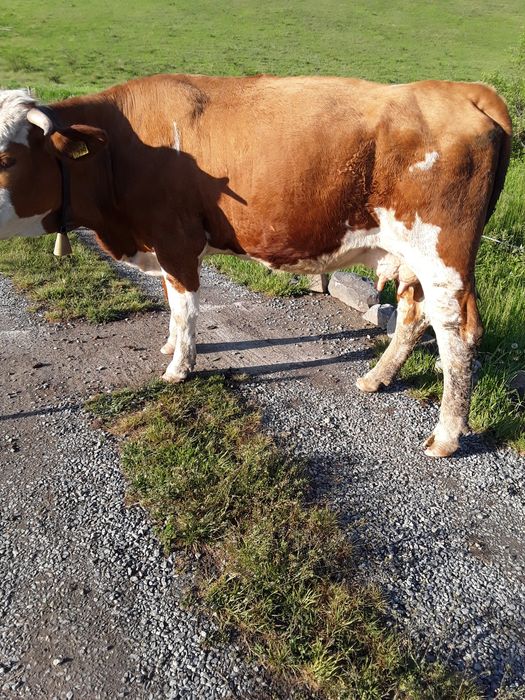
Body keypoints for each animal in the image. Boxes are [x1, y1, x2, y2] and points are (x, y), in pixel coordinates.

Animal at [0, 74, 512, 457]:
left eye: (6, 157)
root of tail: (462, 90)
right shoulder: (162, 245)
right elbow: (170, 300)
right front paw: (170, 346)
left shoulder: (176, 239)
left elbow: (184, 305)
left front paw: (178, 368)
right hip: (411, 258)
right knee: (413, 313)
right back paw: (376, 378)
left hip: (441, 254)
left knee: (456, 333)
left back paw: (445, 436)